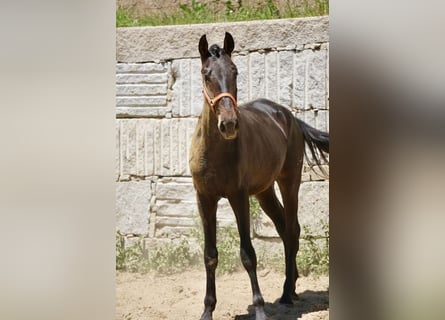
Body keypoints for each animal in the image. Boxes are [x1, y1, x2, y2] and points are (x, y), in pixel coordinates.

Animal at [189, 31, 328, 320]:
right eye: (206, 74)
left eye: (235, 71)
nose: (229, 124)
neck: (215, 151)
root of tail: (289, 117)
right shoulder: (204, 198)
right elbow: (210, 255)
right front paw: (207, 309)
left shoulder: (238, 196)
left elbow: (248, 254)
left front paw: (261, 308)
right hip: (265, 192)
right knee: (285, 229)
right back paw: (292, 287)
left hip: (289, 182)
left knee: (292, 229)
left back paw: (286, 293)